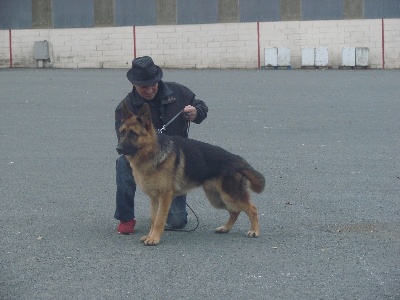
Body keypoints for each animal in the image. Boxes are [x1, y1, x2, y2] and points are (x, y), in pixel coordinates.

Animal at [115, 103, 266, 246]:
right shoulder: (154, 198)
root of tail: (238, 160)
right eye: (121, 133)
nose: (118, 149)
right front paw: (150, 236)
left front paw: (154, 238)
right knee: (235, 212)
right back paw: (225, 228)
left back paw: (254, 230)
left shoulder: (165, 196)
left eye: (133, 134)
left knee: (252, 209)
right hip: (217, 199)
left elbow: (159, 219)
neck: (152, 151)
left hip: (230, 196)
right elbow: (153, 218)